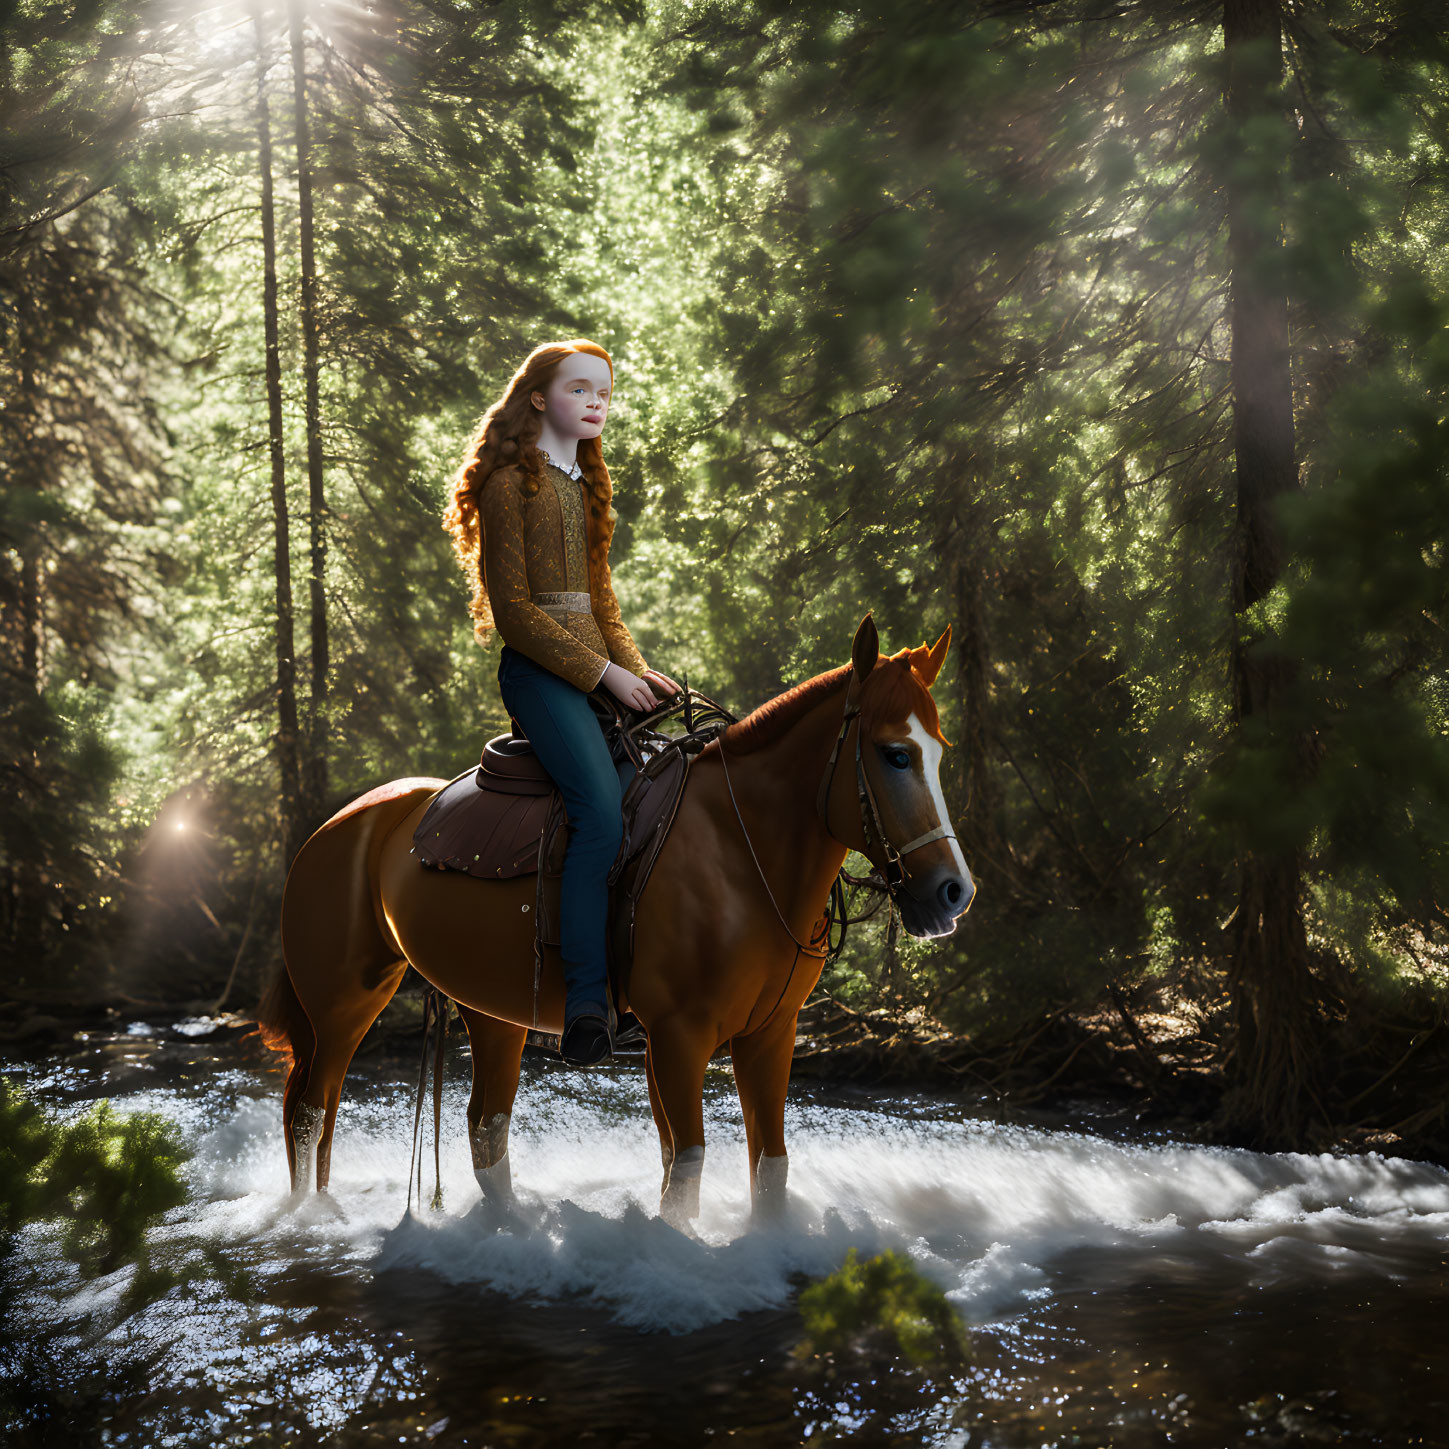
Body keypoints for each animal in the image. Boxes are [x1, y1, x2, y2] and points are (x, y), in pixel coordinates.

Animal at [255, 611, 973, 1222]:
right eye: (894, 753)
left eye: (939, 751)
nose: (952, 893)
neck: (738, 852)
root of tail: (333, 828)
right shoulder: (679, 1036)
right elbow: (685, 1174)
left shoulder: (769, 1034)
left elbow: (765, 1167)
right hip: (343, 1004)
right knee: (311, 1112)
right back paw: (309, 1221)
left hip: (489, 1012)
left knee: (481, 1125)